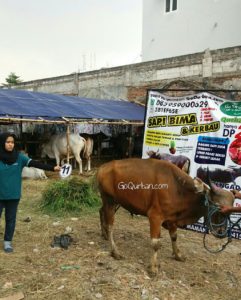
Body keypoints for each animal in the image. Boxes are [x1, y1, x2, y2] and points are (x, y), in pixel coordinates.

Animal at [97, 158, 234, 276]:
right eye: (217, 208)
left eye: (230, 212)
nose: (221, 232)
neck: (179, 188)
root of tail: (103, 167)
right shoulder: (155, 217)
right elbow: (155, 243)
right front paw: (153, 267)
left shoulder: (172, 218)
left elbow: (174, 236)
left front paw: (178, 255)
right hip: (109, 201)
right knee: (110, 225)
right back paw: (115, 251)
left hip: (115, 202)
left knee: (101, 211)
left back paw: (104, 234)